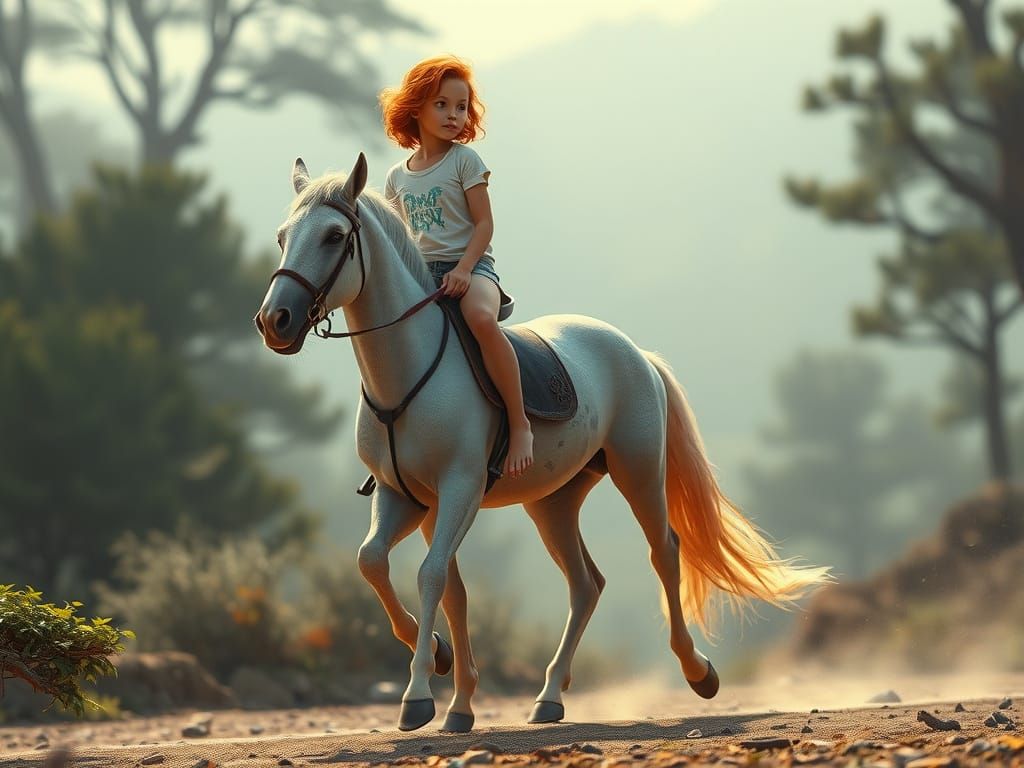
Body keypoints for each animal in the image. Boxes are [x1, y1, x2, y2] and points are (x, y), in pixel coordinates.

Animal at [254, 153, 830, 733]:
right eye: (282, 236)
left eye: (333, 236)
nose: (274, 321)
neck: (408, 371)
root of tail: (636, 352)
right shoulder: (408, 498)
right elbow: (385, 566)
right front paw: (447, 674)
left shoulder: (459, 488)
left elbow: (431, 576)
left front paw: (419, 696)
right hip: (552, 502)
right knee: (585, 584)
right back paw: (549, 696)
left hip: (640, 472)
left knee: (664, 552)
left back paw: (698, 672)